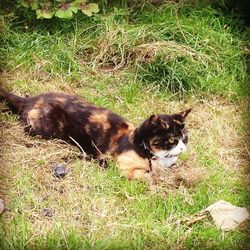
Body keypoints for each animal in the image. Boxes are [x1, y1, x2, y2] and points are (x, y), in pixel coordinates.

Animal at [0, 88, 191, 180]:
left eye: (185, 138)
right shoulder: (120, 167)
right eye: (172, 140)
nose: (183, 149)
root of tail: (29, 99)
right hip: (46, 130)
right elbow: (147, 175)